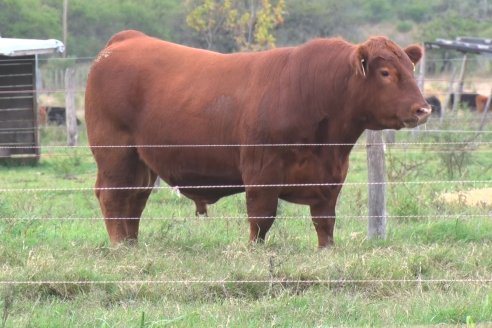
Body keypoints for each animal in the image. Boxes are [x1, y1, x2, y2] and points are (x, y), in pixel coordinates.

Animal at [85, 30, 430, 247]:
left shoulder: (331, 179)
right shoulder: (261, 173)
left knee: (134, 199)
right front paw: (254, 251)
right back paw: (119, 246)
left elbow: (325, 223)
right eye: (385, 73)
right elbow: (261, 219)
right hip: (115, 152)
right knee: (113, 196)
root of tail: (128, 39)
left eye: (411, 68)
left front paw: (326, 251)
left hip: (140, 162)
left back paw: (132, 244)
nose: (423, 108)